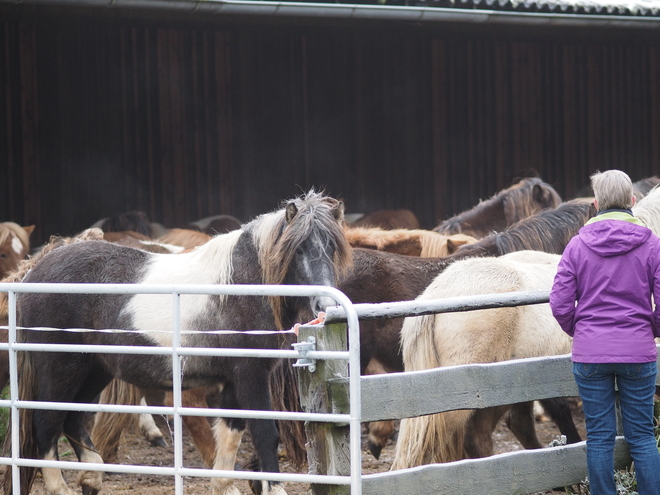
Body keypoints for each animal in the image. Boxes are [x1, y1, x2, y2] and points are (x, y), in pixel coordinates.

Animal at [2, 192, 354, 495]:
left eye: (334, 247)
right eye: (297, 249)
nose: (325, 305)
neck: (241, 286)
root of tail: (34, 272)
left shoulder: (234, 380)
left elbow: (231, 432)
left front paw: (224, 486)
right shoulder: (252, 376)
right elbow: (265, 434)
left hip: (95, 369)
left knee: (72, 419)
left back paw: (92, 477)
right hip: (61, 367)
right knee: (46, 421)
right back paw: (61, 486)